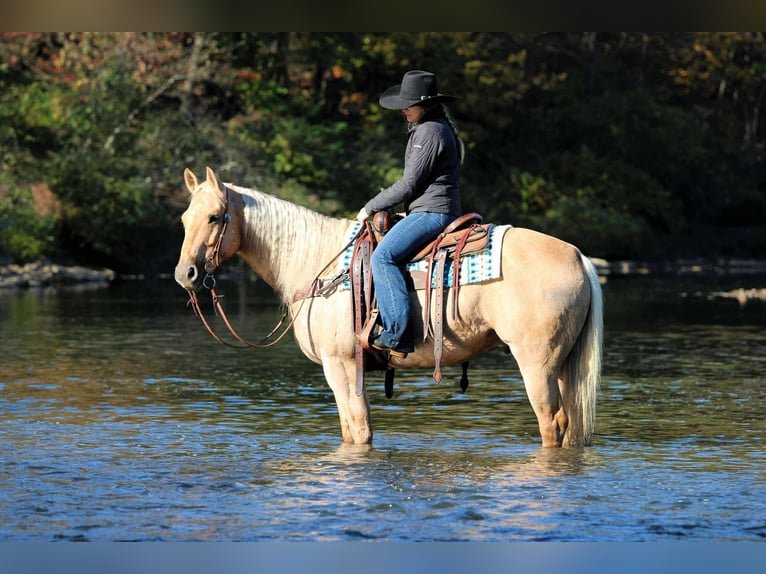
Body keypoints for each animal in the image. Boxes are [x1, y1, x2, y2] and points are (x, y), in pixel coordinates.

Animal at [174, 166, 603, 447]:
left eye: (215, 217)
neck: (317, 262)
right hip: (564, 365)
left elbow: (360, 430)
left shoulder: (342, 365)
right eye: (183, 218)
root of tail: (580, 256)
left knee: (551, 423)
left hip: (537, 363)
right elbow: (350, 430)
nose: (186, 274)